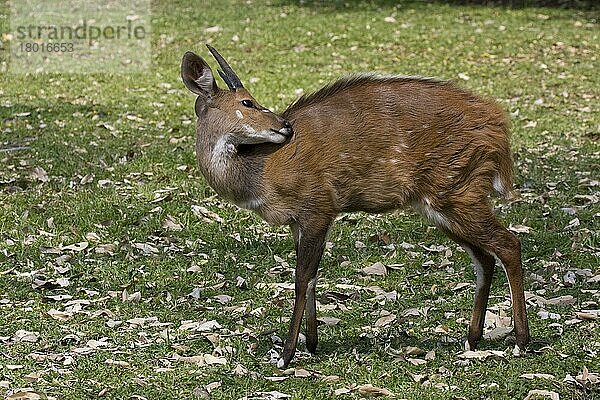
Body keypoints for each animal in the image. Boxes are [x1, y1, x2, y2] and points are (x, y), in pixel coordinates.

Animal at [180, 45, 528, 368]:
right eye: (247, 103)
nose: (285, 126)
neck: (262, 167)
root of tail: (497, 123)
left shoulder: (318, 211)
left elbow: (302, 278)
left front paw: (287, 355)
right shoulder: (299, 222)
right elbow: (311, 276)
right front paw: (311, 344)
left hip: (457, 195)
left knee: (508, 243)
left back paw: (520, 343)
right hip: (445, 207)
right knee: (485, 257)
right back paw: (472, 339)